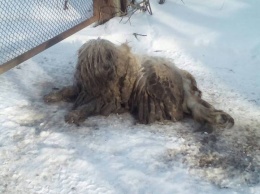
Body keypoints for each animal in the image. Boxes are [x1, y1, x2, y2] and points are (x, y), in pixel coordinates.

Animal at [43, 38, 235, 129]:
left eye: (109, 55)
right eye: (99, 58)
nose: (110, 68)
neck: (100, 83)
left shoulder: (107, 99)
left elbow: (88, 106)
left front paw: (75, 114)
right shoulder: (84, 88)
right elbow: (69, 89)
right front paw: (52, 95)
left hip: (152, 77)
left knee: (174, 110)